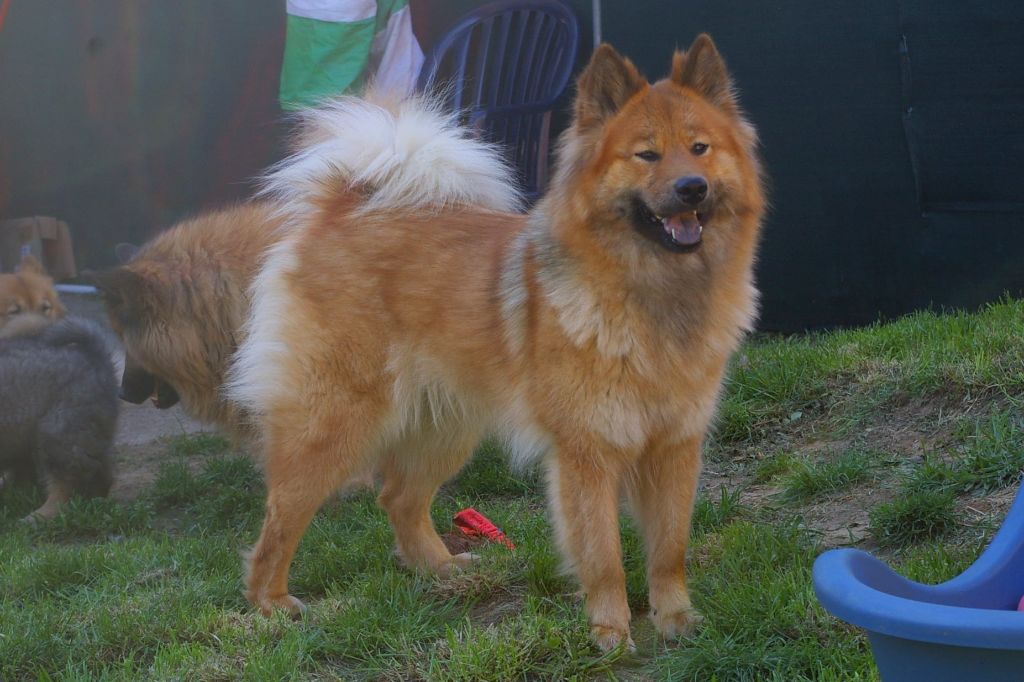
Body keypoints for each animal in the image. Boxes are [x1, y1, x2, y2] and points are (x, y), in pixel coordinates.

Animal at [230, 35, 761, 647]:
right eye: (646, 155)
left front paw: (677, 621)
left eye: (700, 149)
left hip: (447, 425)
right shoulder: (588, 453)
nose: (691, 187)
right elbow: (603, 554)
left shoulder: (675, 445)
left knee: (399, 497)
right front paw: (611, 633)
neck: (653, 294)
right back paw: (271, 603)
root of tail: (343, 209)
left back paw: (440, 568)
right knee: (281, 516)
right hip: (335, 423)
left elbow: (669, 548)